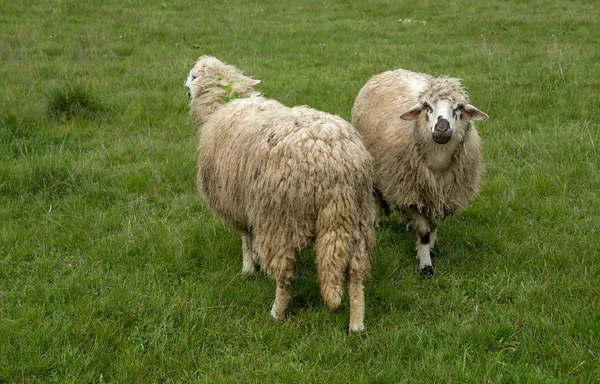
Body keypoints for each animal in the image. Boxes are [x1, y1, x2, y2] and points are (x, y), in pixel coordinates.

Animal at [185, 55, 378, 332]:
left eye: (192, 76)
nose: (185, 89)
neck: (224, 103)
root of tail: (338, 164)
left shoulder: (237, 202)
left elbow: (245, 237)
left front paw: (248, 268)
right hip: (356, 219)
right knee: (355, 274)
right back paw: (357, 325)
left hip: (281, 220)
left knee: (286, 275)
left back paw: (277, 312)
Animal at [352, 69, 488, 278]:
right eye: (427, 107)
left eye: (459, 108)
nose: (442, 128)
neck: (438, 162)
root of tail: (394, 70)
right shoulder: (410, 194)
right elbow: (424, 232)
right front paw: (426, 266)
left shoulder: (442, 196)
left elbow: (434, 226)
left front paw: (431, 247)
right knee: (376, 198)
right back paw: (377, 222)